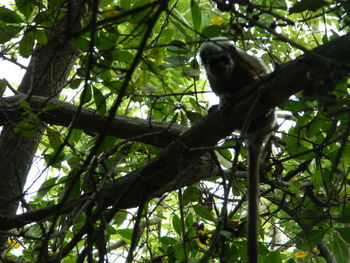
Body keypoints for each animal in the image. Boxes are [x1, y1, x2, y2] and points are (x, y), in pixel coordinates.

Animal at [198, 37, 274, 263]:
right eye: (214, 62)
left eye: (225, 58)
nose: (222, 66)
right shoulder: (212, 76)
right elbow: (219, 90)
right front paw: (223, 98)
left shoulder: (243, 61)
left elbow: (259, 70)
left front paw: (257, 79)